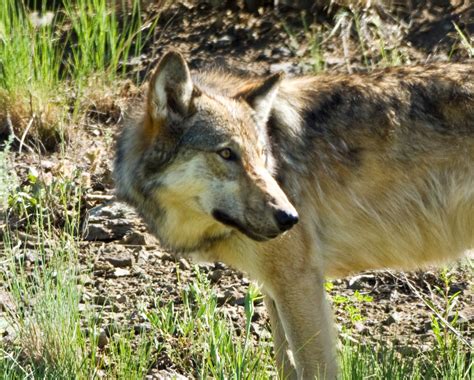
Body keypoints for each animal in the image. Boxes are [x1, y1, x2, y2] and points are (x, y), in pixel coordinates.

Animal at [115, 51, 474, 380]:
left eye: (261, 155)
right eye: (227, 153)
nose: (290, 217)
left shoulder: (298, 281)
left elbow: (315, 369)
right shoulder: (274, 286)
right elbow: (284, 363)